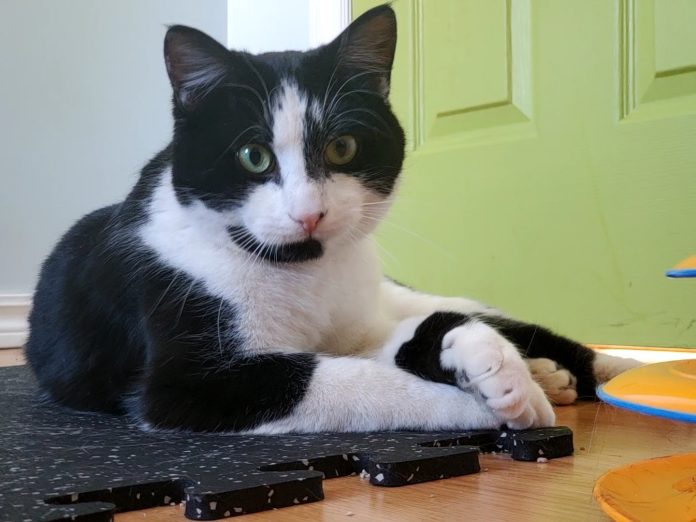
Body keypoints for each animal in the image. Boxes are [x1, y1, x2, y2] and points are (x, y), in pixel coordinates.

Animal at [25, 6, 636, 432]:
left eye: (342, 147)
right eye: (253, 156)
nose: (309, 214)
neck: (303, 270)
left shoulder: (363, 321)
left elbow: (404, 340)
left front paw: (494, 366)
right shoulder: (188, 381)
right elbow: (351, 378)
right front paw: (479, 403)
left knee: (488, 315)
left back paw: (603, 370)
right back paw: (548, 378)